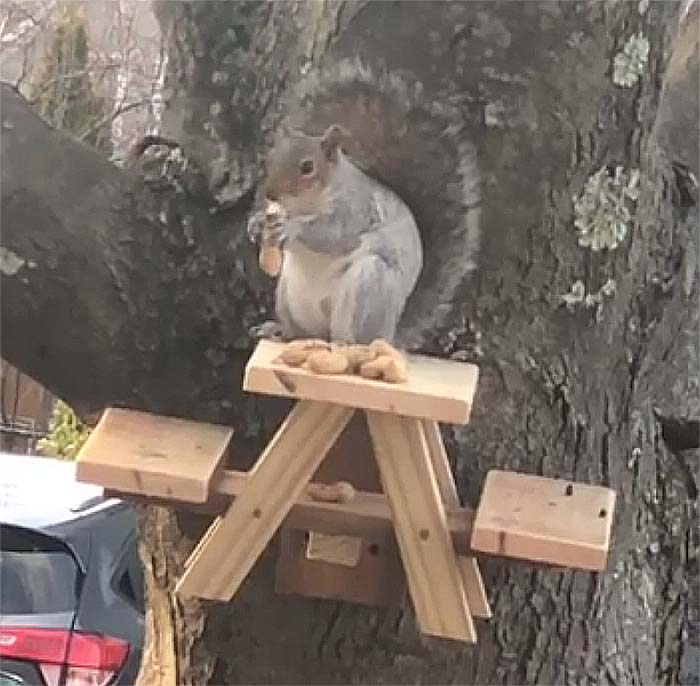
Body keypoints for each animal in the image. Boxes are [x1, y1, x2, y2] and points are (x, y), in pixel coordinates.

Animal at [247, 57, 482, 350]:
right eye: (272, 157)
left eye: (308, 167)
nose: (271, 194)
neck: (307, 204)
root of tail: (390, 335)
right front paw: (257, 224)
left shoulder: (356, 208)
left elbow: (334, 235)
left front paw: (292, 228)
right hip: (289, 296)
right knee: (303, 333)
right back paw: (280, 331)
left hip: (369, 288)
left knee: (356, 338)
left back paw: (346, 346)